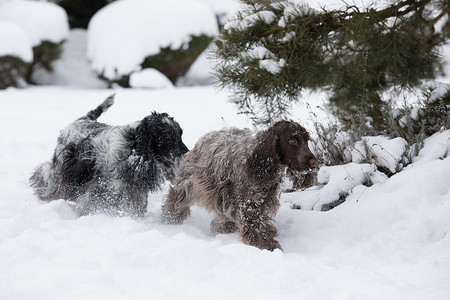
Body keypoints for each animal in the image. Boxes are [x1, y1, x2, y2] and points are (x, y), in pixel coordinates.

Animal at [29, 95, 188, 217]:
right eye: (168, 139)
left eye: (180, 135)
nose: (186, 154)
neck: (131, 149)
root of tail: (82, 120)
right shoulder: (98, 191)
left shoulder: (132, 192)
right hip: (58, 169)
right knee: (46, 177)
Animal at [162, 120, 316, 251]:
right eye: (292, 141)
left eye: (306, 140)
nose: (313, 162)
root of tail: (206, 137)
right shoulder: (247, 201)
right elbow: (254, 223)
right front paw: (265, 244)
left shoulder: (261, 199)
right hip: (188, 183)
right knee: (176, 200)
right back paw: (169, 220)